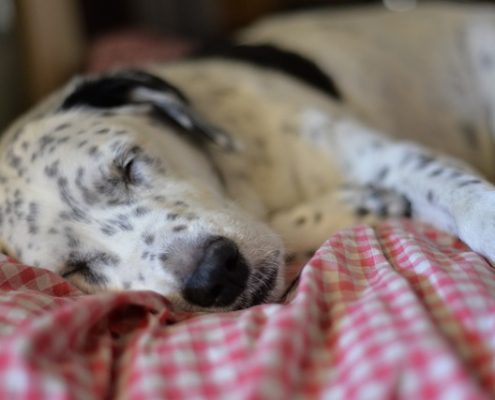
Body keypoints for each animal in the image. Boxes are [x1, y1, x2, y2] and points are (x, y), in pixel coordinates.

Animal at [0, 1, 495, 310]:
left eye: (129, 164)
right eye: (75, 268)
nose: (213, 276)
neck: (250, 180)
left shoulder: (389, 156)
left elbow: (461, 195)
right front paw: (355, 206)